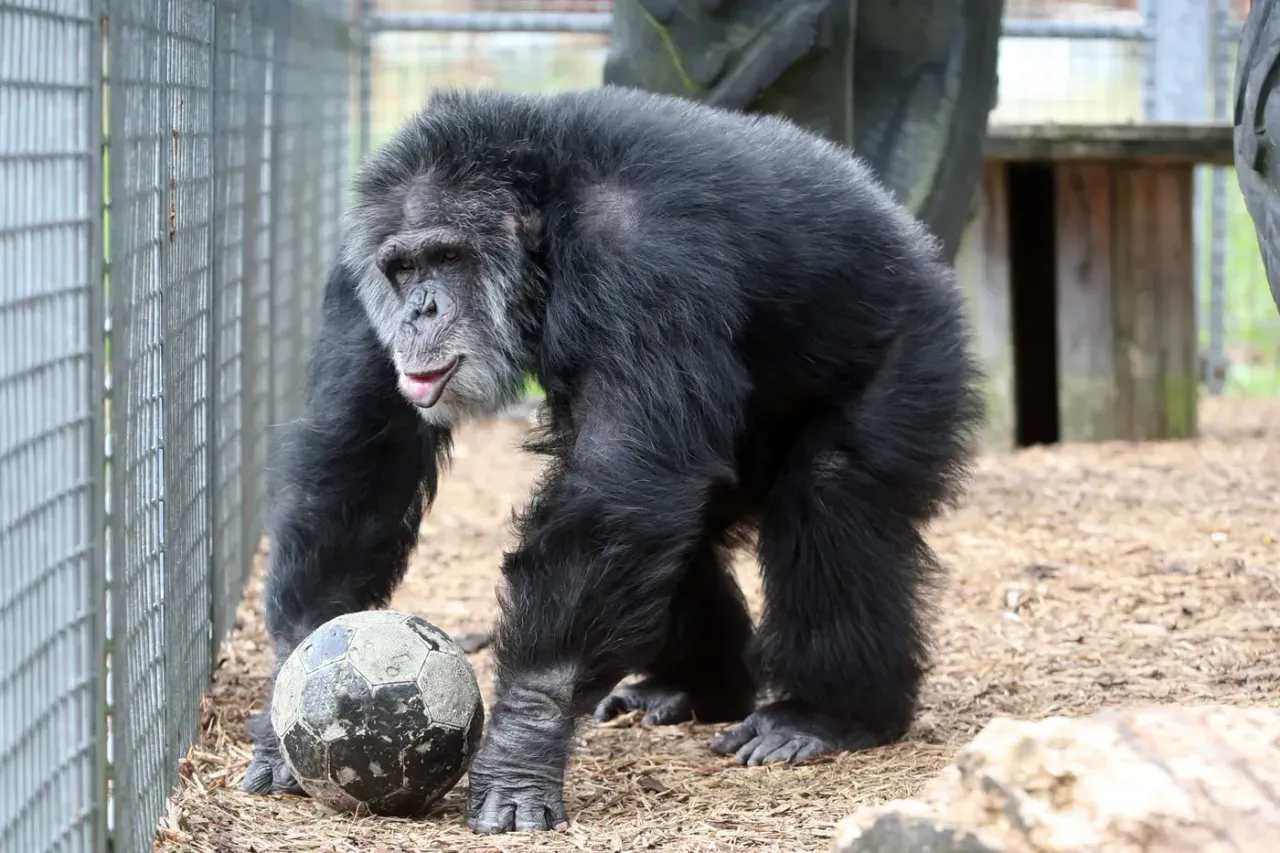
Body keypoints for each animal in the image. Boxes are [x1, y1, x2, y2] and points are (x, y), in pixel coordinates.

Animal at [240, 85, 985, 835]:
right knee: (669, 524)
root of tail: (914, 236)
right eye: (400, 269)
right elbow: (363, 451)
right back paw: (692, 686)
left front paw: (522, 740)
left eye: (446, 257)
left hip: (915, 344)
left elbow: (616, 480)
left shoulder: (643, 259)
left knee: (829, 500)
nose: (418, 309)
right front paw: (287, 704)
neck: (550, 226)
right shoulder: (354, 277)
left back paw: (826, 713)